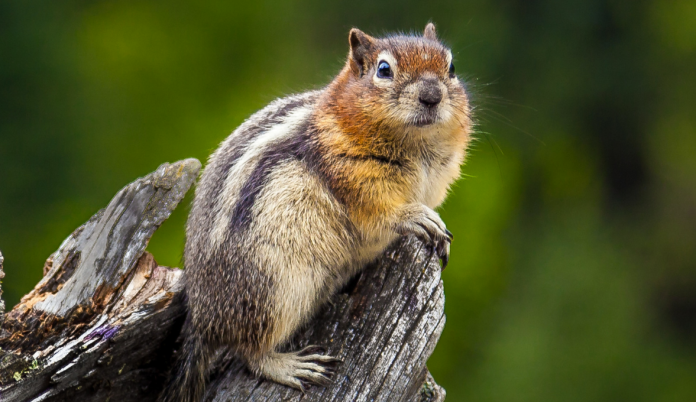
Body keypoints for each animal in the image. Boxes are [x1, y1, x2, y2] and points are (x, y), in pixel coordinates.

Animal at [159, 22, 472, 402]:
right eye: (384, 70)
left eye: (451, 67)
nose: (431, 95)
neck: (417, 145)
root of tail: (201, 320)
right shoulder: (352, 177)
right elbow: (382, 211)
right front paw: (419, 218)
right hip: (272, 289)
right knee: (248, 351)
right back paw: (290, 365)